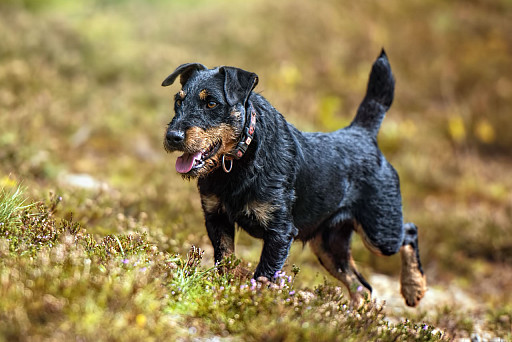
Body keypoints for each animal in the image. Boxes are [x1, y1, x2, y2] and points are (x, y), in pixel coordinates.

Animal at [162, 50, 426, 308]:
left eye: (211, 103)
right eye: (179, 101)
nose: (172, 136)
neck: (241, 158)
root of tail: (362, 133)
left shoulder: (280, 232)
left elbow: (264, 275)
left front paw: (253, 303)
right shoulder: (217, 219)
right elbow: (225, 261)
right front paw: (225, 292)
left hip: (380, 232)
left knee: (409, 231)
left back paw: (413, 288)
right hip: (329, 245)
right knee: (361, 285)